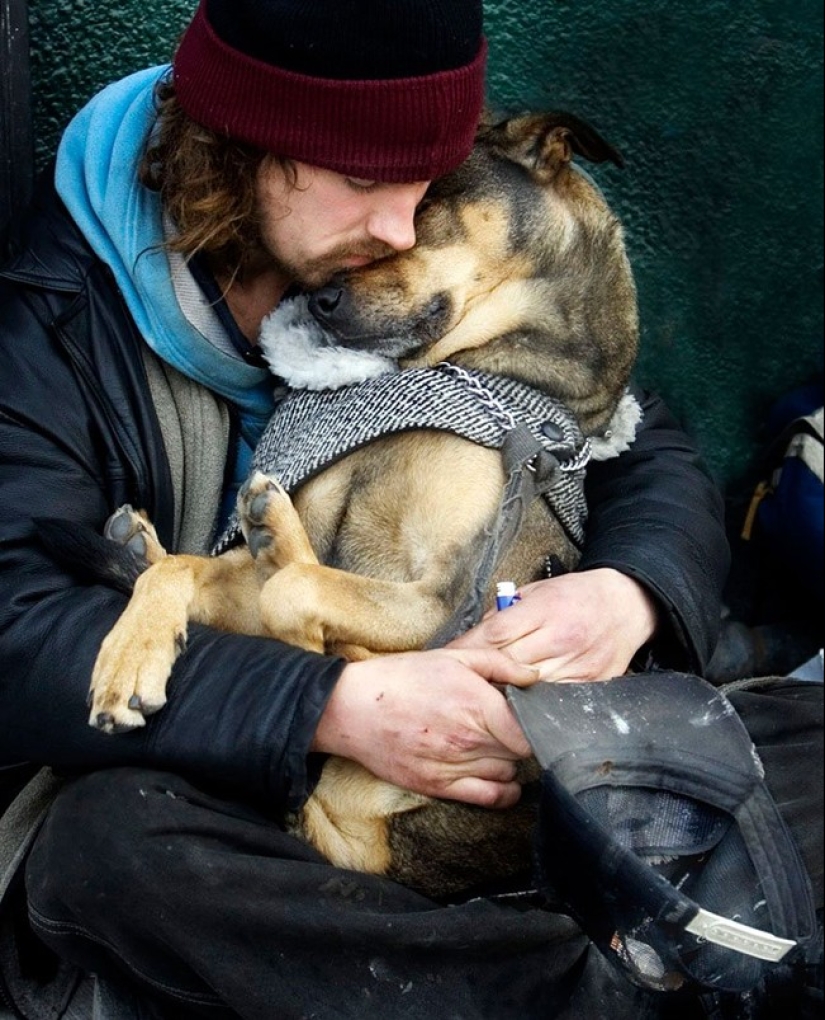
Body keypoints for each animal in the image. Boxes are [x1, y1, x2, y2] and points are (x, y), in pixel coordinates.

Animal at [53, 111, 644, 901]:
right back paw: (157, 545)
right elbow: (187, 574)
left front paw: (287, 593)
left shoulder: (452, 596)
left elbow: (294, 594)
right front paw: (128, 659)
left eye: (424, 205)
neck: (468, 371)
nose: (318, 301)